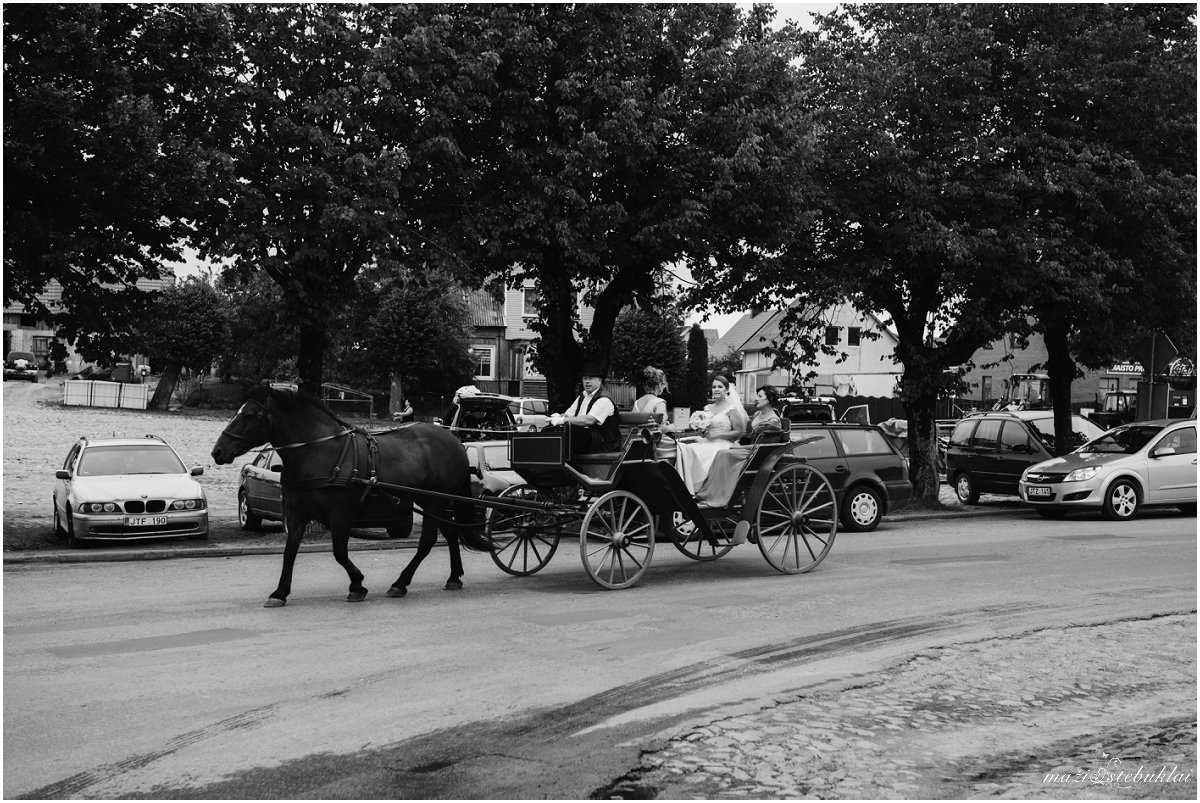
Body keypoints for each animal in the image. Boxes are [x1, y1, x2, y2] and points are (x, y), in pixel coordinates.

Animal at [210, 386, 491, 607]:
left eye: (248, 415)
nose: (217, 451)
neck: (319, 452)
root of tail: (454, 441)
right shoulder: (297, 514)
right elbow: (289, 553)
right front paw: (280, 592)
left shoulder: (340, 514)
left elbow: (339, 552)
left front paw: (357, 585)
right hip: (433, 501)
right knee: (451, 532)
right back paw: (453, 577)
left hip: (433, 501)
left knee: (427, 541)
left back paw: (401, 582)